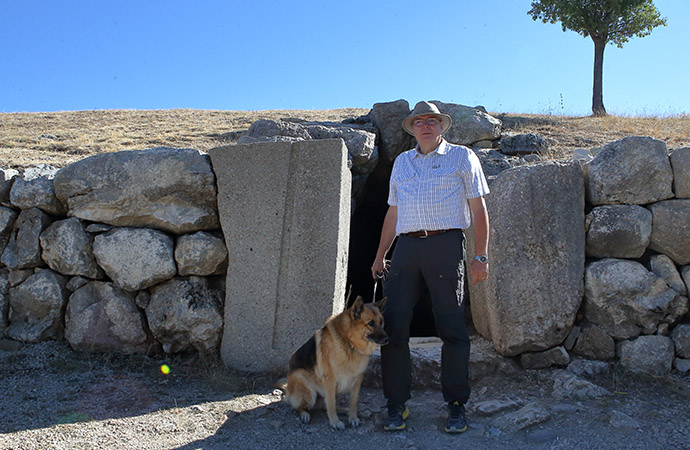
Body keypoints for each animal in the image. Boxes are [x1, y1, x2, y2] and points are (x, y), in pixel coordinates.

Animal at [278, 296, 388, 430]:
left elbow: (353, 402)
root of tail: (289, 390)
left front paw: (352, 418)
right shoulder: (330, 381)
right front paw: (335, 422)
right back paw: (304, 414)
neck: (348, 342)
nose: (387, 339)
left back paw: (344, 410)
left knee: (324, 406)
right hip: (308, 390)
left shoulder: (357, 381)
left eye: (381, 322)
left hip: (341, 388)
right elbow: (330, 404)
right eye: (371, 323)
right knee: (299, 406)